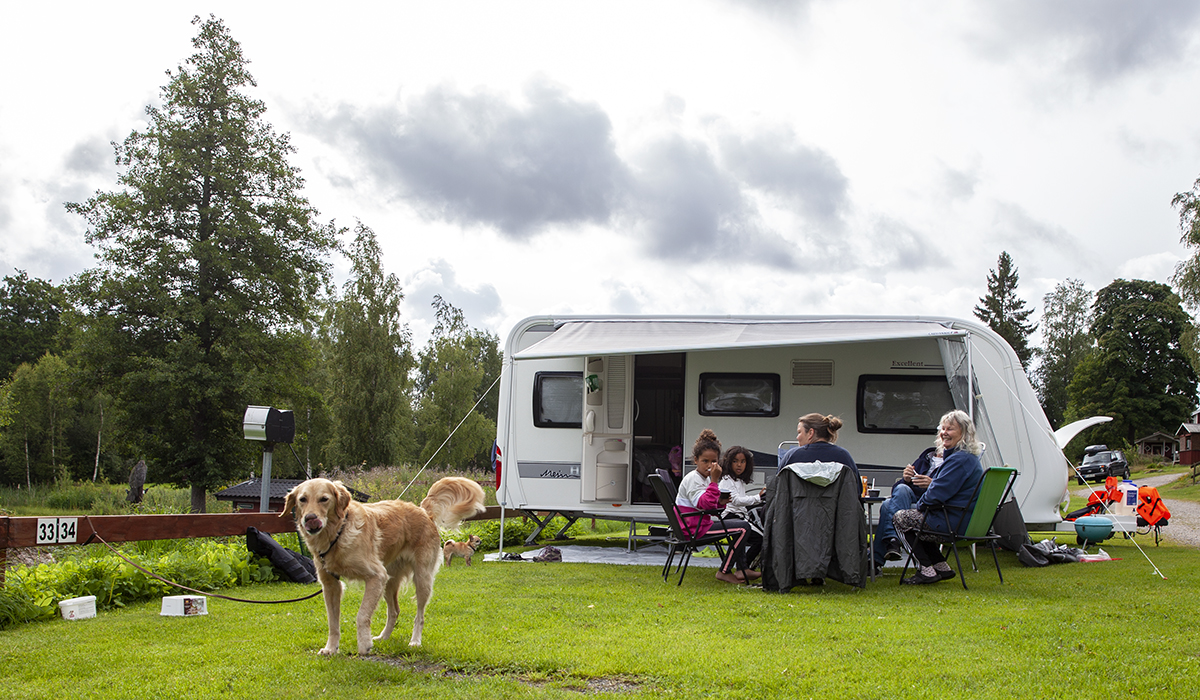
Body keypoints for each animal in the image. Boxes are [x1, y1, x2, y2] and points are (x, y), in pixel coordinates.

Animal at [283, 475, 484, 657]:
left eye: (324, 499)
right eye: (302, 499)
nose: (310, 519)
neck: (338, 533)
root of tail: (422, 510)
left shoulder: (375, 576)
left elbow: (362, 615)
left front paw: (364, 644)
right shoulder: (330, 585)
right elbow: (333, 622)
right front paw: (331, 648)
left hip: (421, 579)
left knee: (419, 616)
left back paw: (415, 641)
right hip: (389, 581)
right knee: (394, 611)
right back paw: (383, 637)